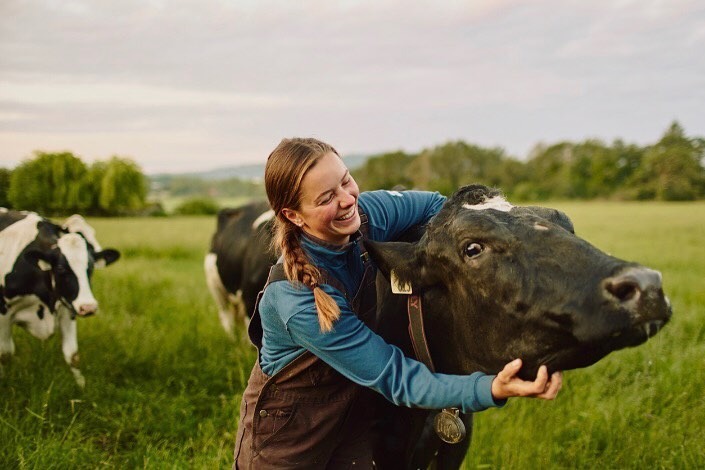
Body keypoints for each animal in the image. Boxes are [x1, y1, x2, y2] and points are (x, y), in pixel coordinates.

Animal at [0, 209, 119, 386]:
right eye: (61, 268)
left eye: (90, 267)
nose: (89, 307)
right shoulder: (4, 313)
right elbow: (5, 354)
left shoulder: (68, 307)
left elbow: (72, 355)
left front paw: (81, 385)